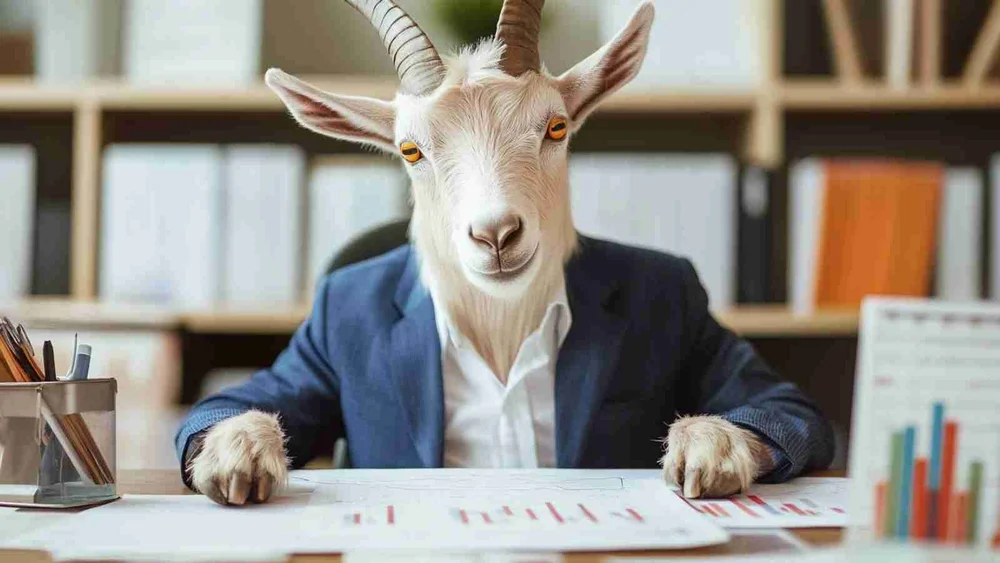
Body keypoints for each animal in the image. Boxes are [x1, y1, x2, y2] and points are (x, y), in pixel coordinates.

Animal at [187, 0, 775, 506]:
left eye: (556, 125)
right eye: (410, 149)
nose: (496, 235)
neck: (502, 327)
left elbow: (770, 397)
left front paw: (713, 447)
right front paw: (237, 454)